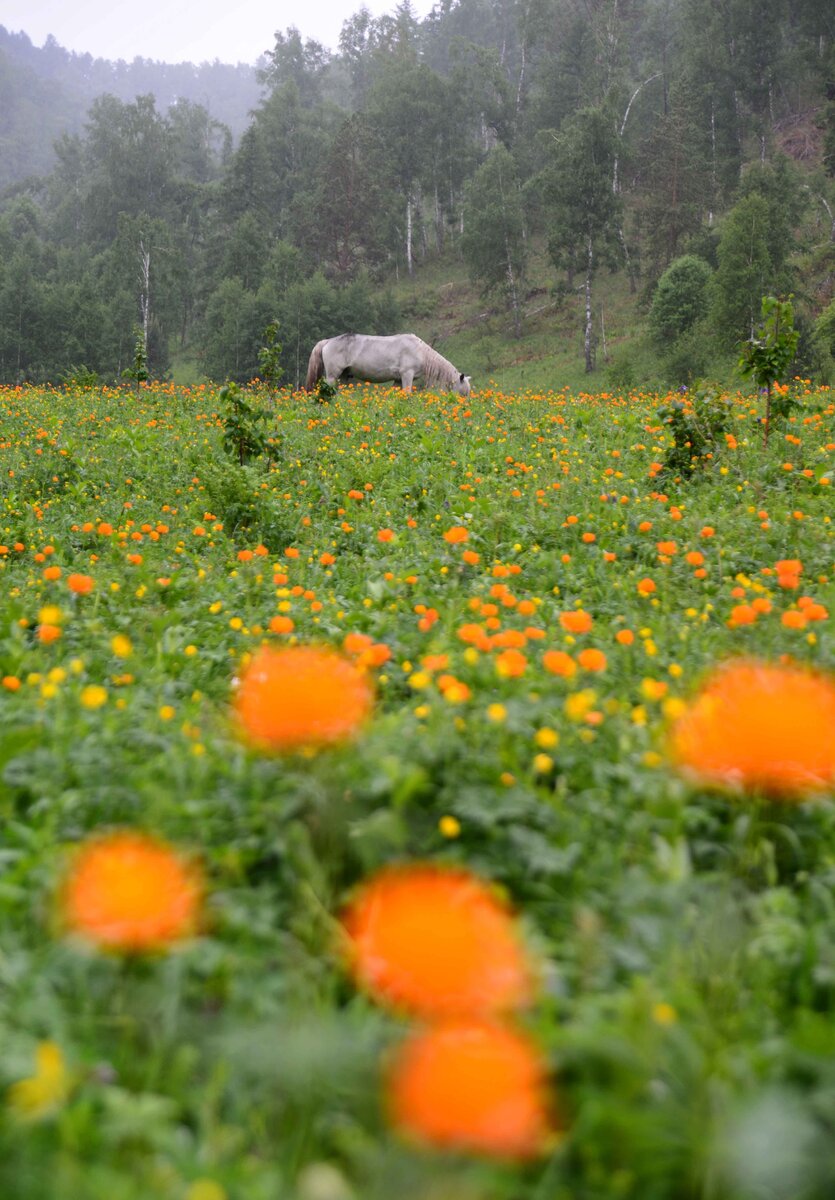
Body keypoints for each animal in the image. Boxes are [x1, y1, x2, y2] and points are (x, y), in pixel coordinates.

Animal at [303, 333, 470, 393]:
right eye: (464, 391)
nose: (465, 407)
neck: (420, 351)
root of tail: (327, 341)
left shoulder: (398, 379)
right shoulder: (406, 375)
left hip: (344, 377)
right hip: (332, 376)